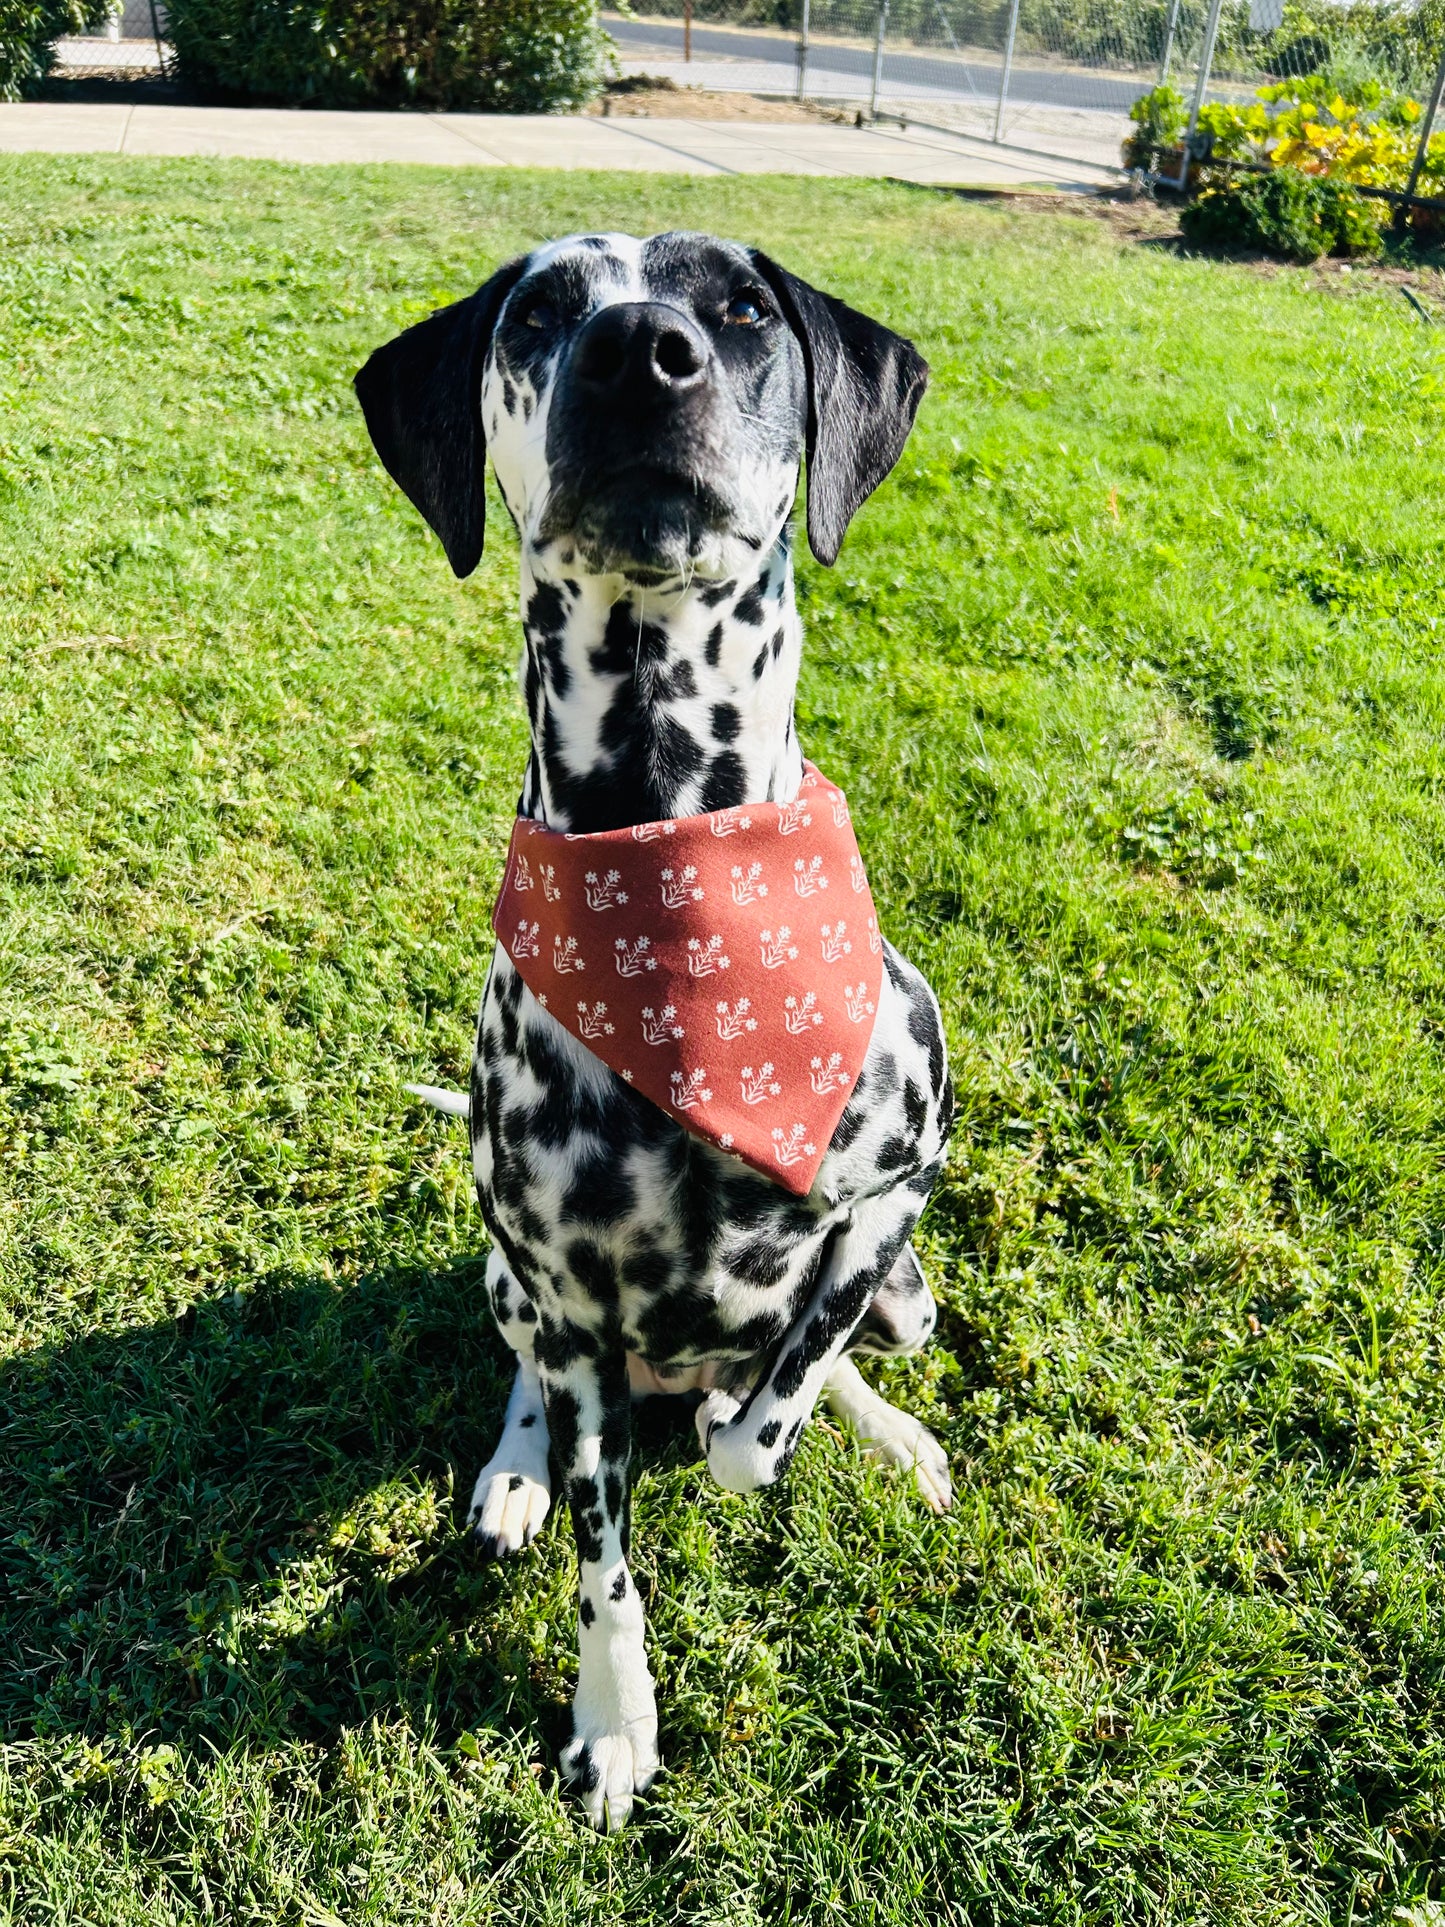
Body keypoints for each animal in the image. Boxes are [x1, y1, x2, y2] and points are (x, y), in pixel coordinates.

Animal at [356, 233, 955, 1826]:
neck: (677, 872)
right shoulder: (568, 1302)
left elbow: (775, 1401)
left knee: (859, 1344)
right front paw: (613, 1719)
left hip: (918, 1289)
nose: (643, 349)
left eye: (739, 307)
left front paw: (771, 1410)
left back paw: (890, 1432)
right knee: (524, 1378)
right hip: (509, 1282)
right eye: (540, 311)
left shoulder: (901, 1181)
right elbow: (604, 1561)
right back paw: (515, 1472)